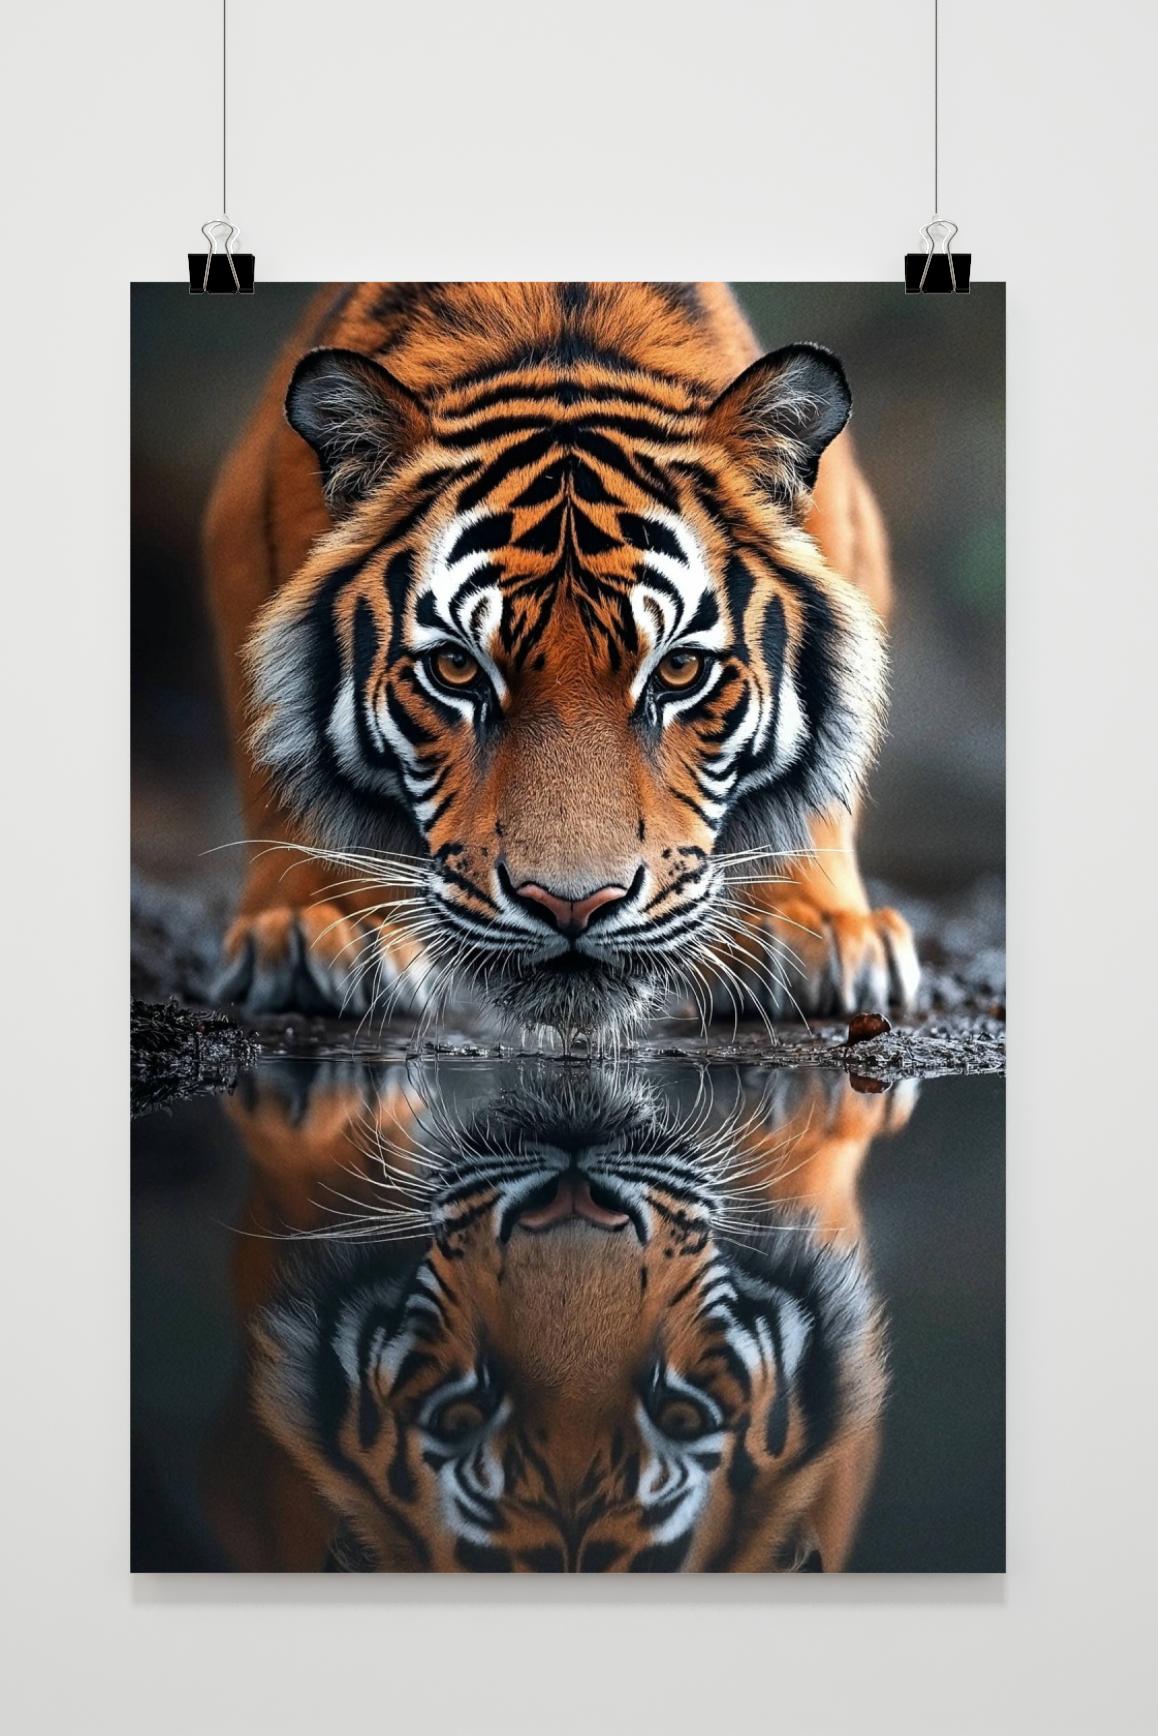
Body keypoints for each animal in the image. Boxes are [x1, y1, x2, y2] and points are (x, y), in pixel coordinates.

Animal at [206, 282, 919, 1034]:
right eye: (457, 669)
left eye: (679, 670)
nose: (572, 905)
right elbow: (286, 772)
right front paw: (314, 923)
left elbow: (822, 783)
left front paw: (818, 929)